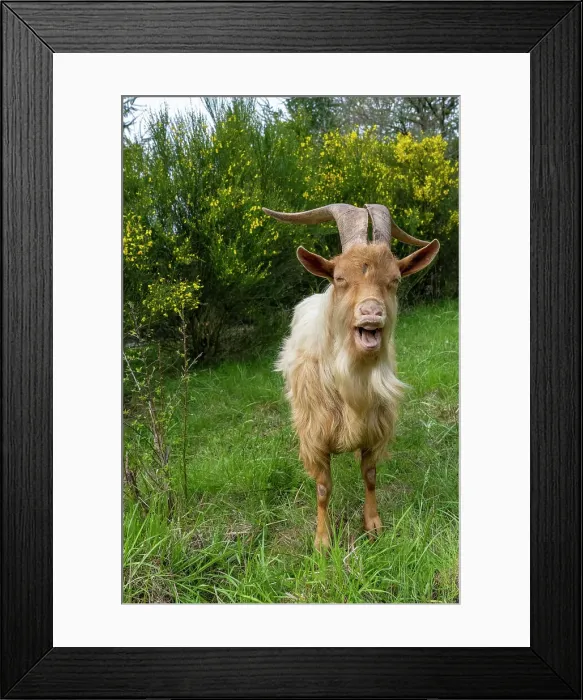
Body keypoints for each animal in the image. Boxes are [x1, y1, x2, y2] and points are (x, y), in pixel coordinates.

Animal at [263, 203, 439, 548]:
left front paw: (373, 524)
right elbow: (322, 488)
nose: (372, 313)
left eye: (395, 280)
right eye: (340, 278)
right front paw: (322, 541)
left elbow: (370, 476)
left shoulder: (376, 429)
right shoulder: (315, 435)